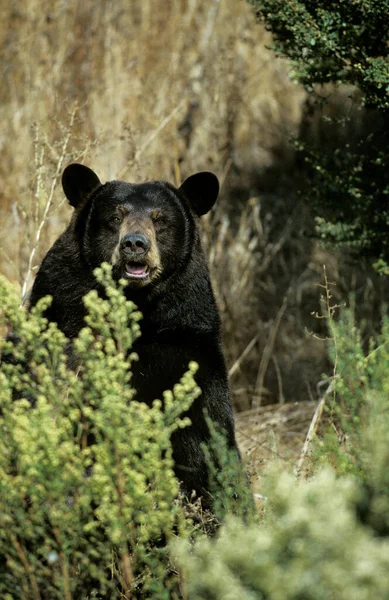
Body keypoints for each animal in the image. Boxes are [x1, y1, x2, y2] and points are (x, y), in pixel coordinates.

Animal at [28, 163, 239, 502]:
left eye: (160, 219)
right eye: (116, 217)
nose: (135, 244)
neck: (137, 305)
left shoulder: (188, 340)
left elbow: (207, 432)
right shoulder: (63, 315)